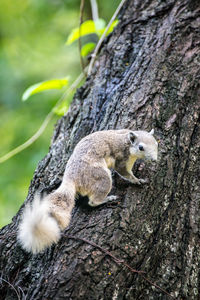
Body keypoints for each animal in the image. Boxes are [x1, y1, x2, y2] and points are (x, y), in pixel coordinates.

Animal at [17, 128, 158, 253]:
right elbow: (124, 172)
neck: (126, 141)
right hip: (100, 177)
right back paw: (107, 199)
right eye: (141, 147)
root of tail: (71, 177)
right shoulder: (122, 158)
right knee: (93, 201)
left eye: (157, 143)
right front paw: (137, 180)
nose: (155, 160)